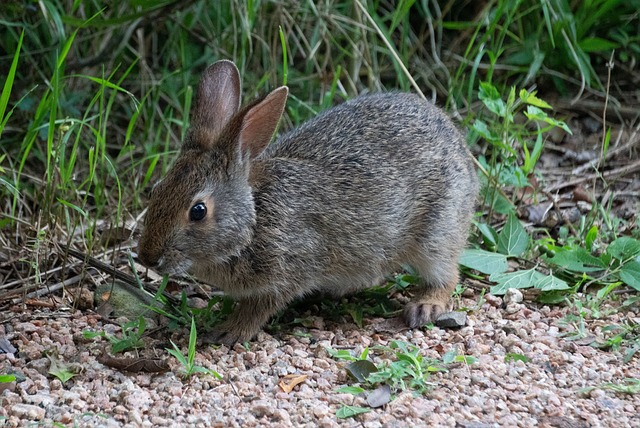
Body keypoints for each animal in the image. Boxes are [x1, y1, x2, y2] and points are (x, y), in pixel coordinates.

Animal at [138, 60, 478, 346]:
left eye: (198, 211)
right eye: (156, 189)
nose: (147, 258)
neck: (253, 221)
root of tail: (459, 145)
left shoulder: (289, 271)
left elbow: (258, 308)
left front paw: (229, 331)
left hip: (437, 229)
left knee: (446, 274)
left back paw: (424, 306)